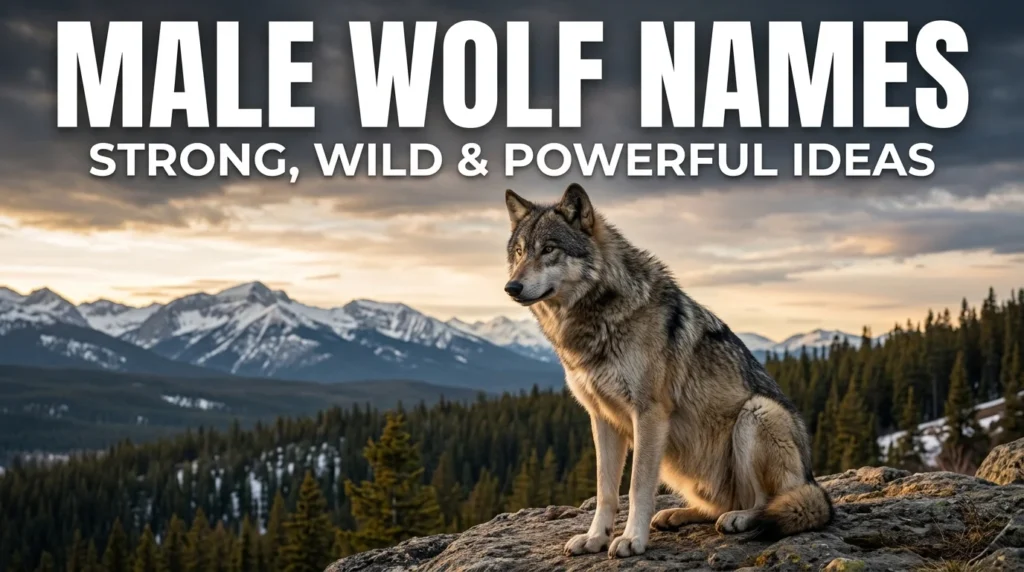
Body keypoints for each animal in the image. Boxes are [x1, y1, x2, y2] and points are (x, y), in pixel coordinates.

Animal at [503, 183, 834, 558]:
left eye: (549, 249)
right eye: (519, 252)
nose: (511, 287)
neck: (596, 319)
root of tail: (811, 479)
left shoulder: (649, 414)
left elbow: (636, 488)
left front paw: (632, 539)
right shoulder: (601, 418)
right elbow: (605, 491)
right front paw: (595, 538)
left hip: (757, 413)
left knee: (763, 501)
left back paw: (740, 519)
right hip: (682, 463)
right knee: (717, 505)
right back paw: (676, 514)